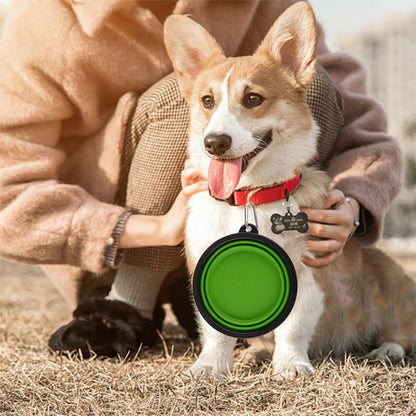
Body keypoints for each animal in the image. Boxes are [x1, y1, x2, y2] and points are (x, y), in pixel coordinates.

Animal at [163, 1, 416, 378]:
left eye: (253, 98)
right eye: (207, 101)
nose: (215, 143)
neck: (250, 198)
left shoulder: (306, 273)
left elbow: (293, 327)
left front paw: (291, 366)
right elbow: (216, 331)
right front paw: (211, 366)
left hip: (393, 287)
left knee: (400, 331)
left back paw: (386, 350)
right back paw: (255, 352)